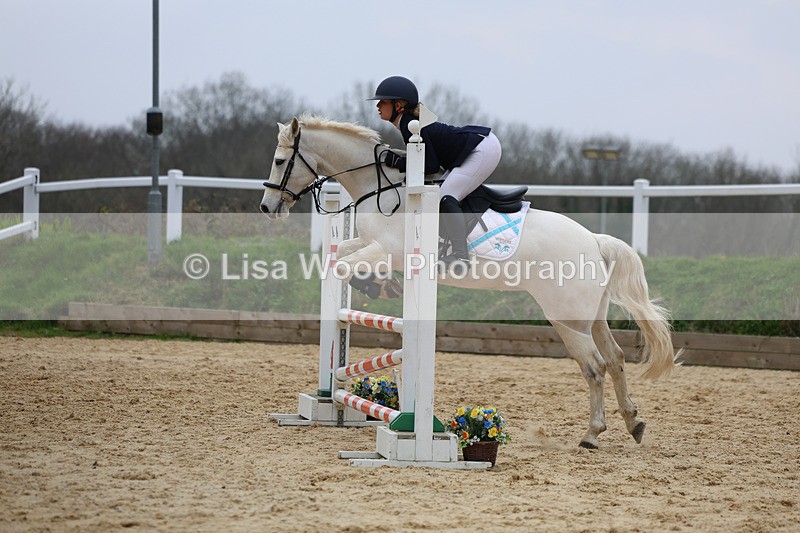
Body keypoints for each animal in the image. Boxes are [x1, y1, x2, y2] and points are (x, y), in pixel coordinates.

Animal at [260, 115, 680, 449]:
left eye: (280, 161)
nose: (268, 207)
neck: (382, 187)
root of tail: (594, 240)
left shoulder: (390, 250)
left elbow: (347, 267)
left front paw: (383, 286)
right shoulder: (369, 244)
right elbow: (340, 257)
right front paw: (379, 285)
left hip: (567, 319)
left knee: (594, 367)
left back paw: (592, 434)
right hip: (590, 316)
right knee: (615, 359)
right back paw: (634, 423)